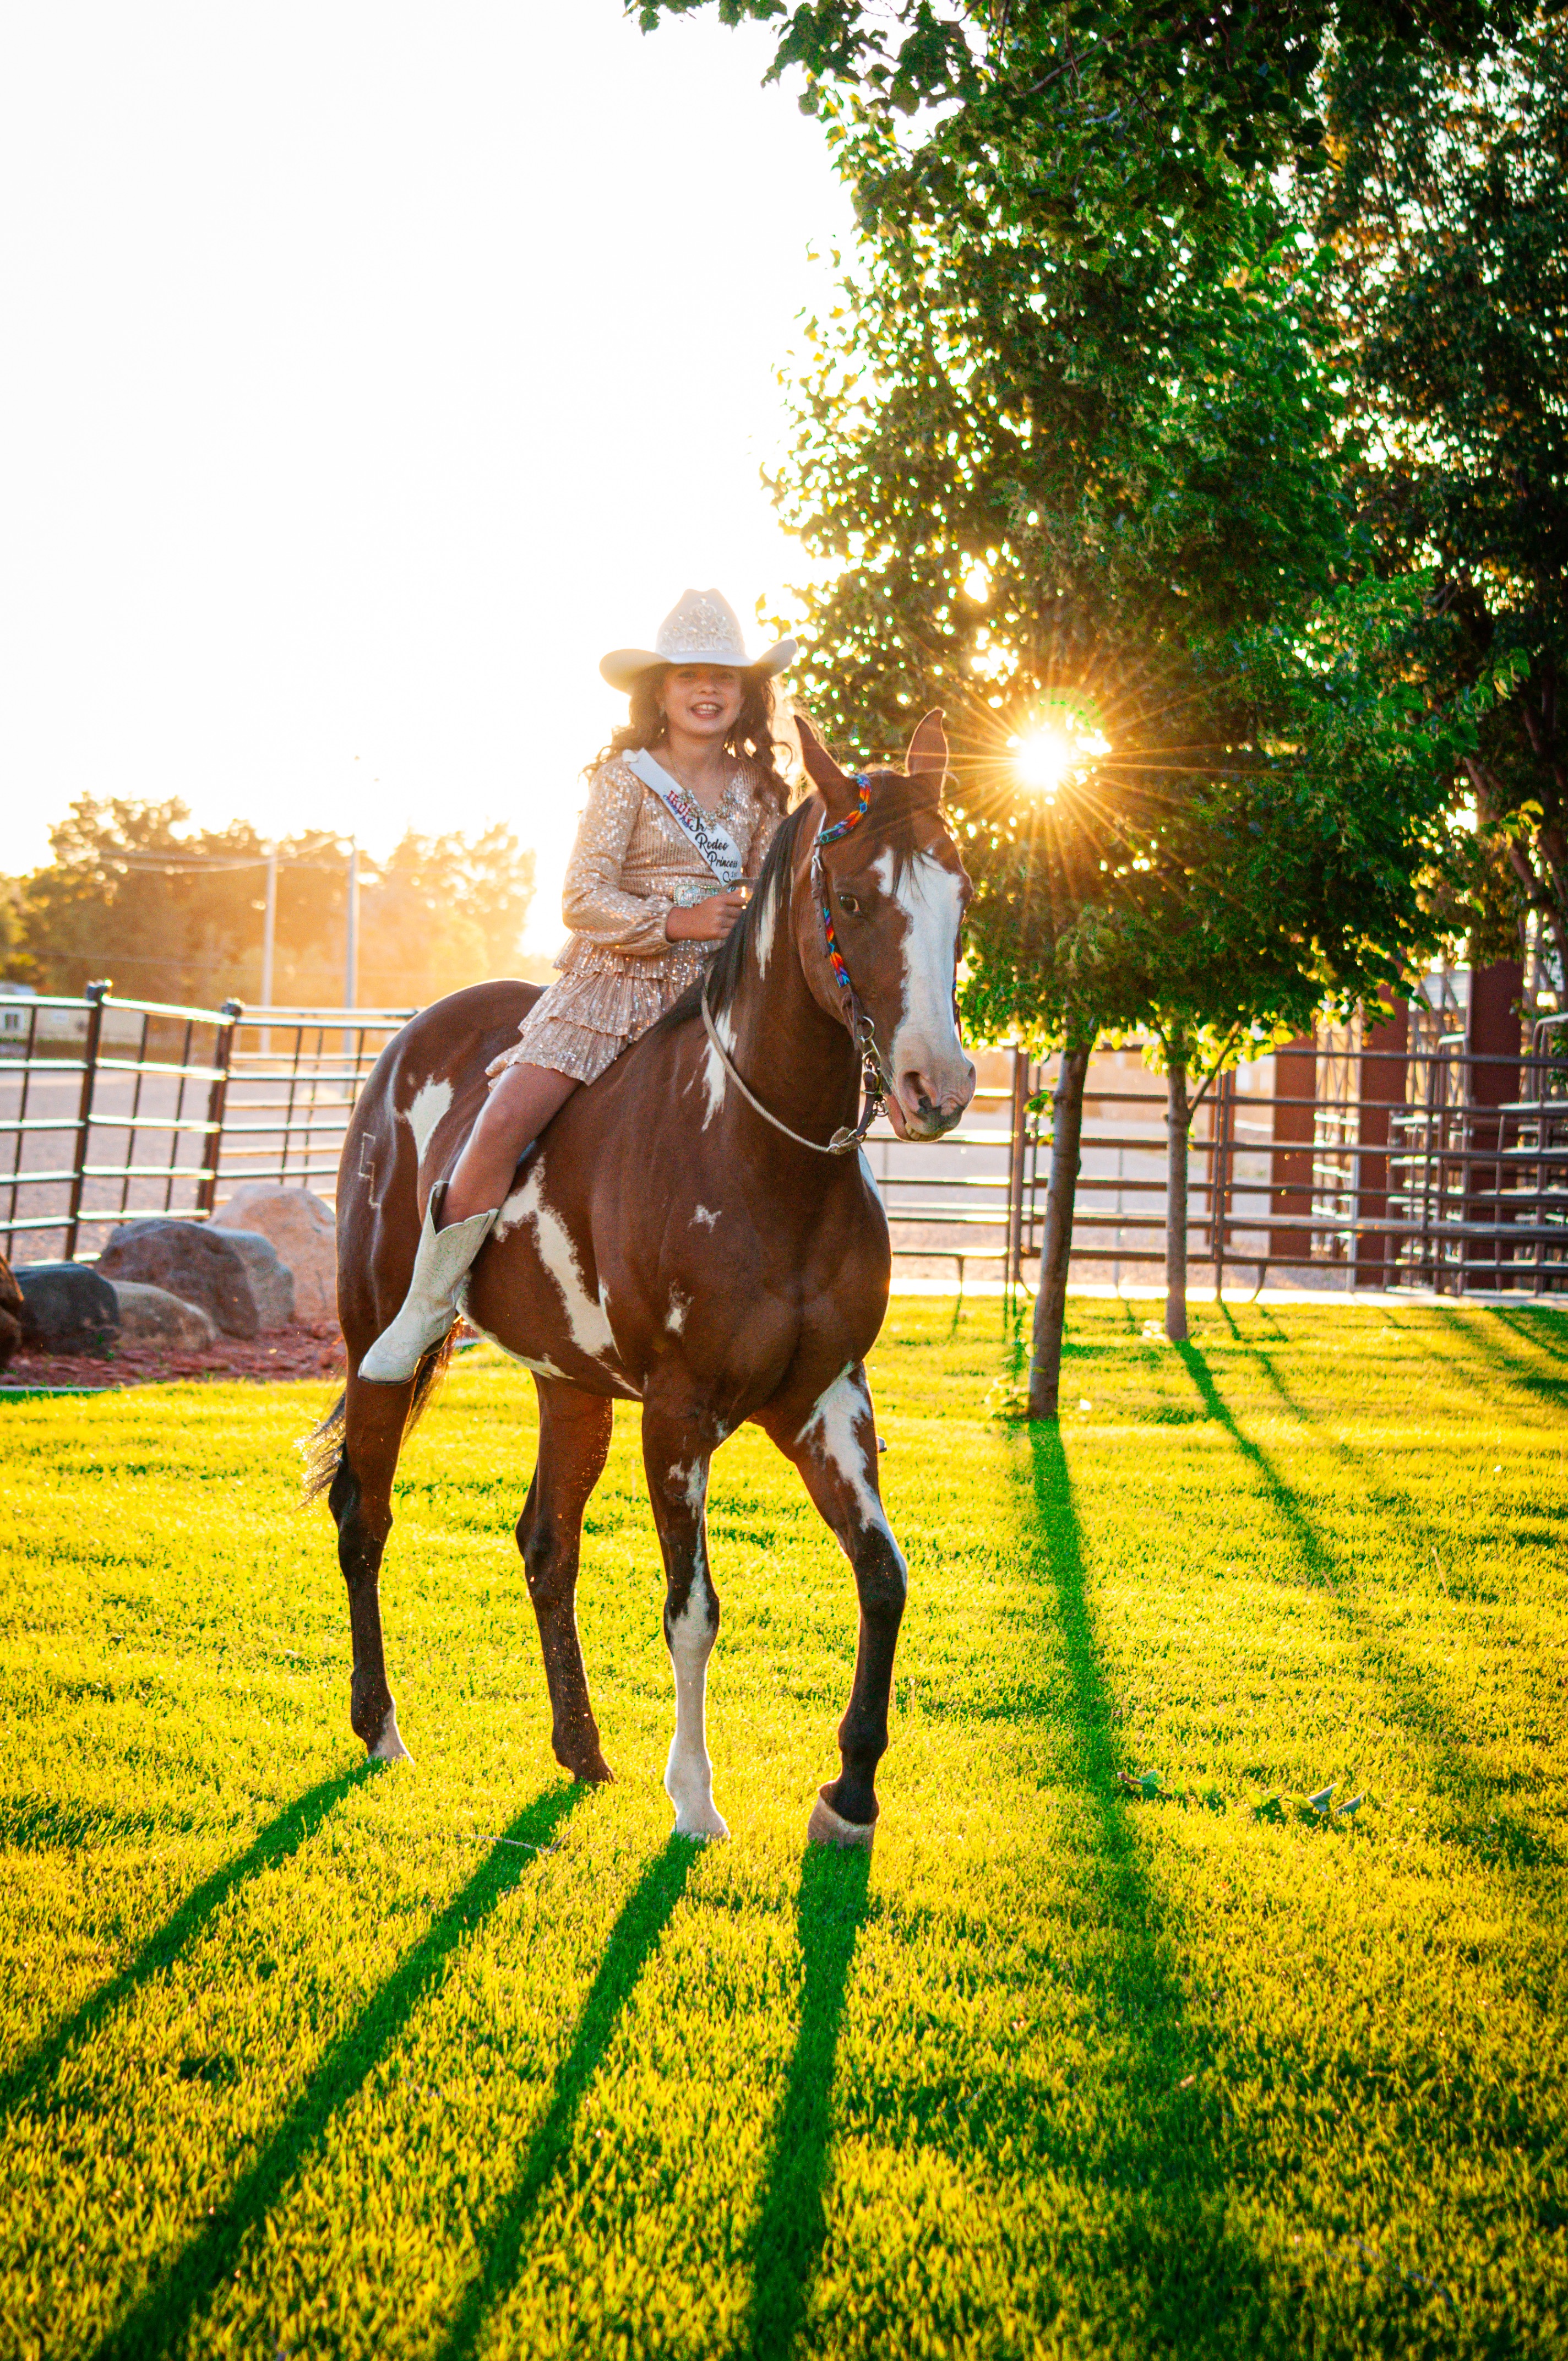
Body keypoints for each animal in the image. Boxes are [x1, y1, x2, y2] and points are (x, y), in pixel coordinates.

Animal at [307, 712, 975, 1848]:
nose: (940, 1085)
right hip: (378, 1339)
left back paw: (580, 1749)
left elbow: (883, 1579)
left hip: (568, 1384)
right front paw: (695, 1797)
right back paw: (382, 1725)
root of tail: (408, 1043)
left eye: (960, 891)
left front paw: (848, 1794)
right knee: (366, 1511)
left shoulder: (829, 1399)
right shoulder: (678, 1411)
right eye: (850, 900)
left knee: (546, 1544)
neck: (764, 1155)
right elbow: (692, 1609)